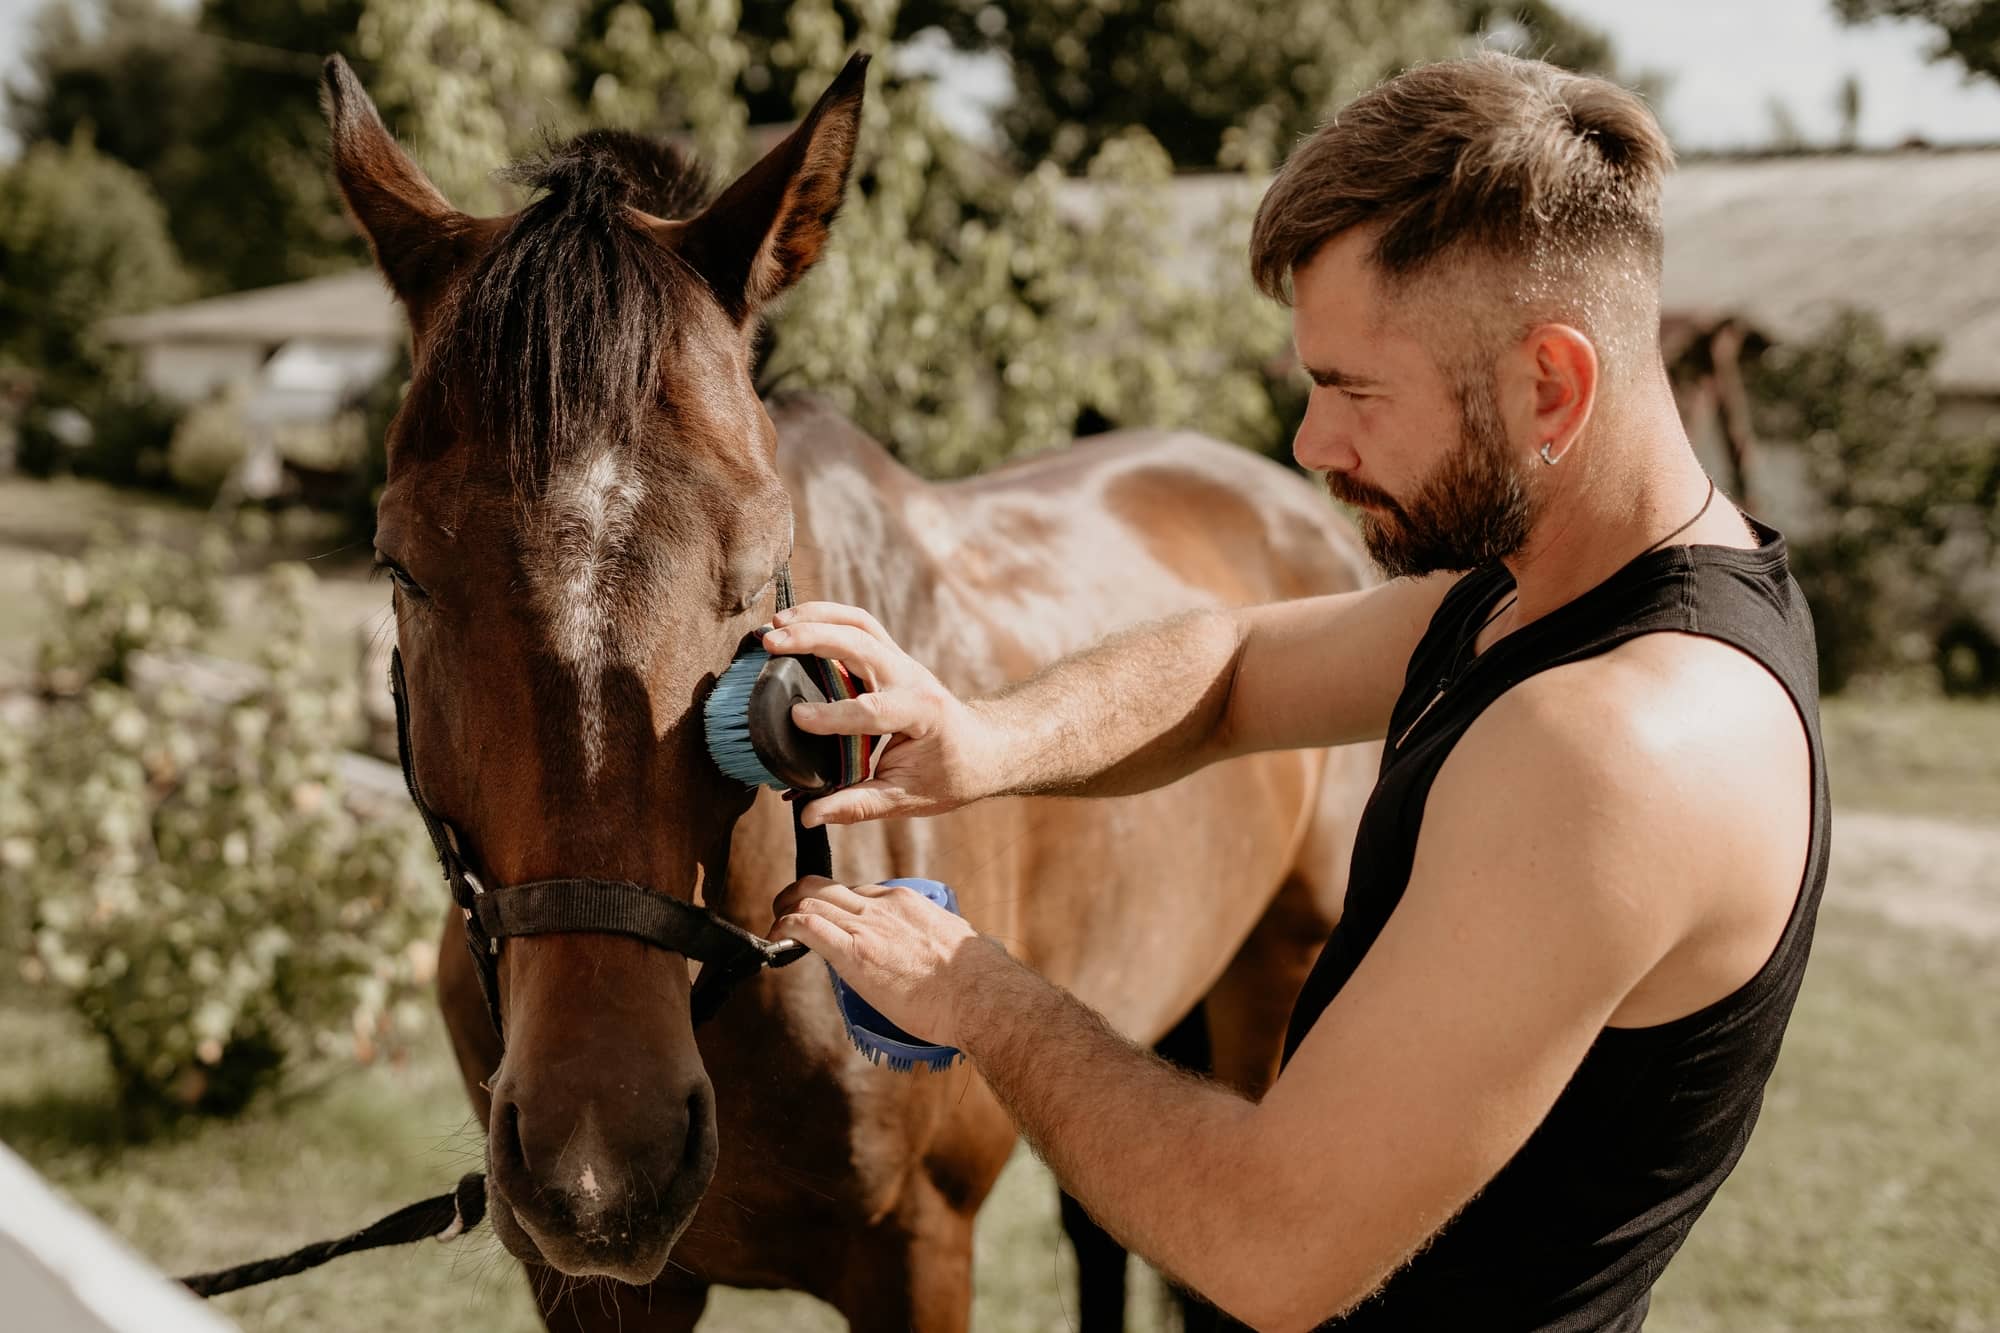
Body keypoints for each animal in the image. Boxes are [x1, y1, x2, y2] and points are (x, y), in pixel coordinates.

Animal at [322, 53, 1377, 1331]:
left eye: (757, 559)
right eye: (400, 565)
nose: (600, 1160)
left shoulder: (919, 1254)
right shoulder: (595, 1290)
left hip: (1268, 1002)